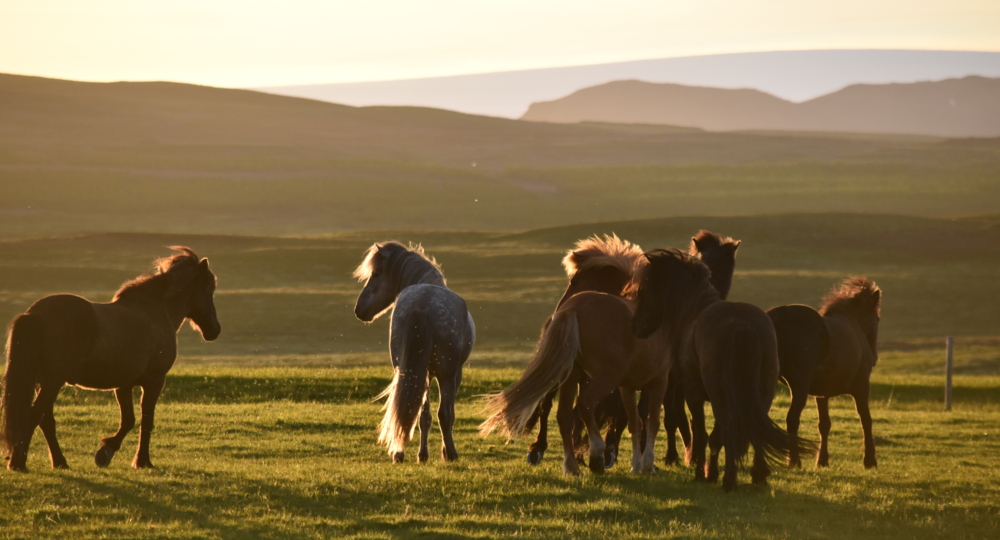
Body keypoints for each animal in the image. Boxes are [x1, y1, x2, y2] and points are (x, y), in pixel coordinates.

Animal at [0, 247, 220, 470]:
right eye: (209, 288)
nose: (214, 330)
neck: (155, 312)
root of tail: (33, 315)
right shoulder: (155, 381)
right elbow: (146, 421)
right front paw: (141, 461)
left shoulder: (124, 385)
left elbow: (129, 420)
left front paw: (106, 452)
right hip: (52, 382)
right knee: (34, 416)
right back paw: (19, 462)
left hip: (43, 382)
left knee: (45, 420)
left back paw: (59, 462)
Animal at [354, 242, 474, 464]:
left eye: (376, 273)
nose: (359, 309)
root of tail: (422, 307)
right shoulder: (455, 374)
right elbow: (448, 414)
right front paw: (445, 452)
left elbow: (423, 416)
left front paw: (422, 454)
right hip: (446, 373)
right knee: (444, 414)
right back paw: (451, 453)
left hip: (410, 371)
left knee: (413, 410)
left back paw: (402, 453)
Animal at [632, 247, 812, 492]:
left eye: (643, 290)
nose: (635, 327)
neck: (693, 312)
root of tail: (743, 326)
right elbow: (714, 435)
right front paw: (711, 473)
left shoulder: (694, 394)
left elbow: (702, 433)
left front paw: (704, 474)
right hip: (762, 392)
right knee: (754, 428)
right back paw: (758, 475)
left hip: (719, 395)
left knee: (727, 428)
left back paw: (729, 480)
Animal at [764, 278, 884, 468]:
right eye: (877, 318)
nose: (874, 358)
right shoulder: (861, 387)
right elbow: (866, 420)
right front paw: (870, 460)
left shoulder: (822, 394)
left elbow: (824, 424)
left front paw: (822, 460)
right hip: (799, 386)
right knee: (792, 419)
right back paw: (794, 461)